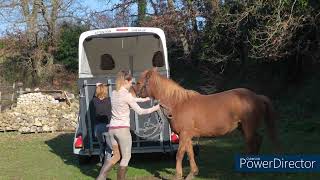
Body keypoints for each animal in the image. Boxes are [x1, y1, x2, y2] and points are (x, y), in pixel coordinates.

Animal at [134, 68, 278, 179]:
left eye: (139, 82)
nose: (133, 94)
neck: (178, 103)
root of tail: (257, 96)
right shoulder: (186, 135)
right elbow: (190, 153)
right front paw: (192, 173)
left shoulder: (184, 134)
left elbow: (179, 154)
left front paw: (178, 175)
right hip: (242, 127)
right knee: (258, 139)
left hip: (248, 128)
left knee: (251, 143)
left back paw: (244, 173)